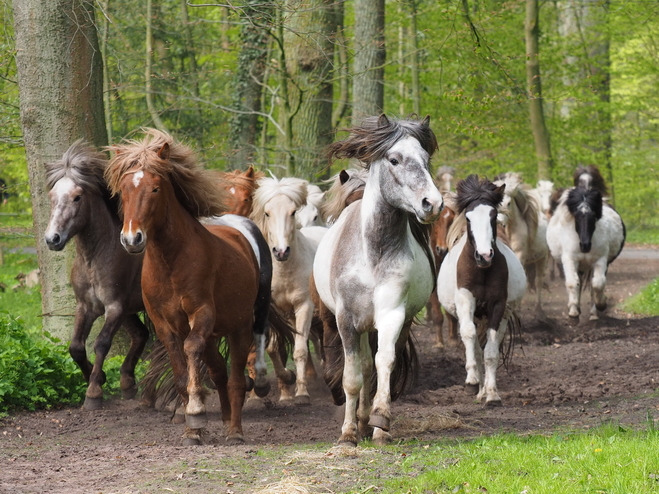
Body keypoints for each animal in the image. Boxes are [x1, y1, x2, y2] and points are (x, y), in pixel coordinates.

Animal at [107, 129, 272, 446]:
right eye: (124, 190)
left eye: (155, 189)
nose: (132, 239)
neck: (171, 263)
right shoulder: (165, 325)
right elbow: (181, 370)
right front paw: (192, 429)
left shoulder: (202, 312)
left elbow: (192, 347)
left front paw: (196, 410)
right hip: (216, 333)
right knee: (219, 370)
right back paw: (224, 418)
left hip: (241, 324)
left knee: (236, 375)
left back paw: (235, 429)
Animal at [250, 176, 328, 404]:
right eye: (267, 213)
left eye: (292, 212)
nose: (281, 251)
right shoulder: (273, 311)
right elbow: (273, 348)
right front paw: (286, 382)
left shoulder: (304, 306)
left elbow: (300, 350)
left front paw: (301, 392)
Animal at [310, 114, 444, 446]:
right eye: (394, 159)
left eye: (426, 159)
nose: (432, 204)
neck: (374, 252)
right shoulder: (345, 320)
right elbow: (352, 376)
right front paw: (348, 433)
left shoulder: (392, 314)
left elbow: (385, 362)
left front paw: (381, 422)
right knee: (363, 368)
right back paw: (357, 421)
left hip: (394, 322)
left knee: (375, 365)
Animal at [438, 176, 524, 408]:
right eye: (468, 218)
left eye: (493, 216)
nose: (484, 255)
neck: (482, 271)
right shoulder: (466, 301)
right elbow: (469, 337)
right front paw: (471, 382)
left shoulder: (497, 306)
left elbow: (491, 351)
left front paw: (492, 394)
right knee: (474, 344)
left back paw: (485, 391)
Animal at [544, 185, 628, 324]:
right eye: (576, 216)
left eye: (593, 216)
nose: (585, 245)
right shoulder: (569, 259)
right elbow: (572, 283)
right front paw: (573, 313)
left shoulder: (600, 260)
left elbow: (597, 284)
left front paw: (601, 305)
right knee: (578, 281)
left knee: (592, 284)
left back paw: (593, 313)